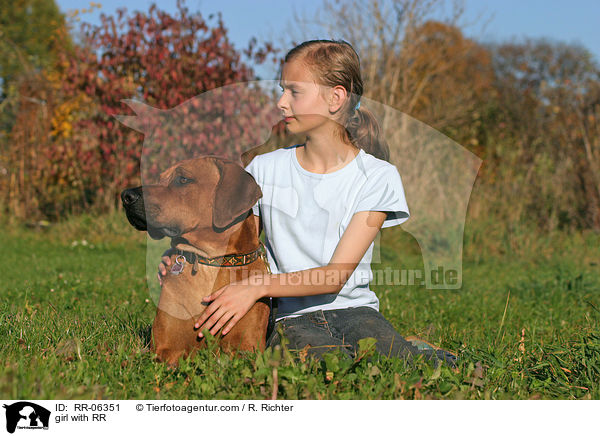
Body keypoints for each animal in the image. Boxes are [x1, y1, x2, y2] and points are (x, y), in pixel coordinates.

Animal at [121, 155, 270, 366]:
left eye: (183, 179)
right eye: (159, 179)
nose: (126, 196)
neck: (210, 262)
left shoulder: (249, 347)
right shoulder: (164, 348)